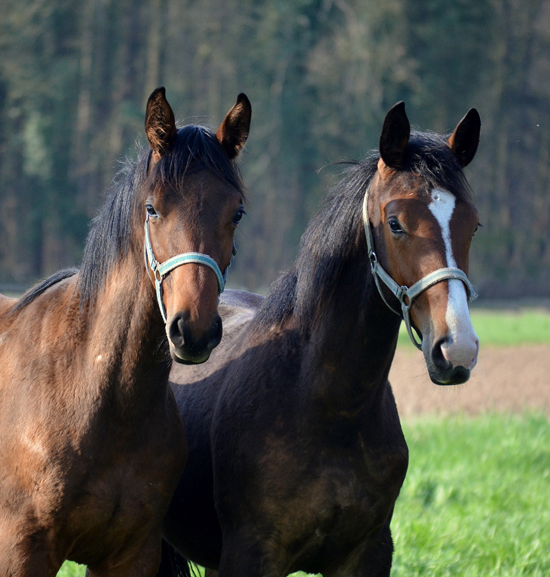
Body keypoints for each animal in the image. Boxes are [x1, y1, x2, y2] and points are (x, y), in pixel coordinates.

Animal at [157, 101, 480, 572]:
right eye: (396, 223)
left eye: (472, 226)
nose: (457, 348)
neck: (329, 407)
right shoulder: (251, 554)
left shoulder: (367, 554)